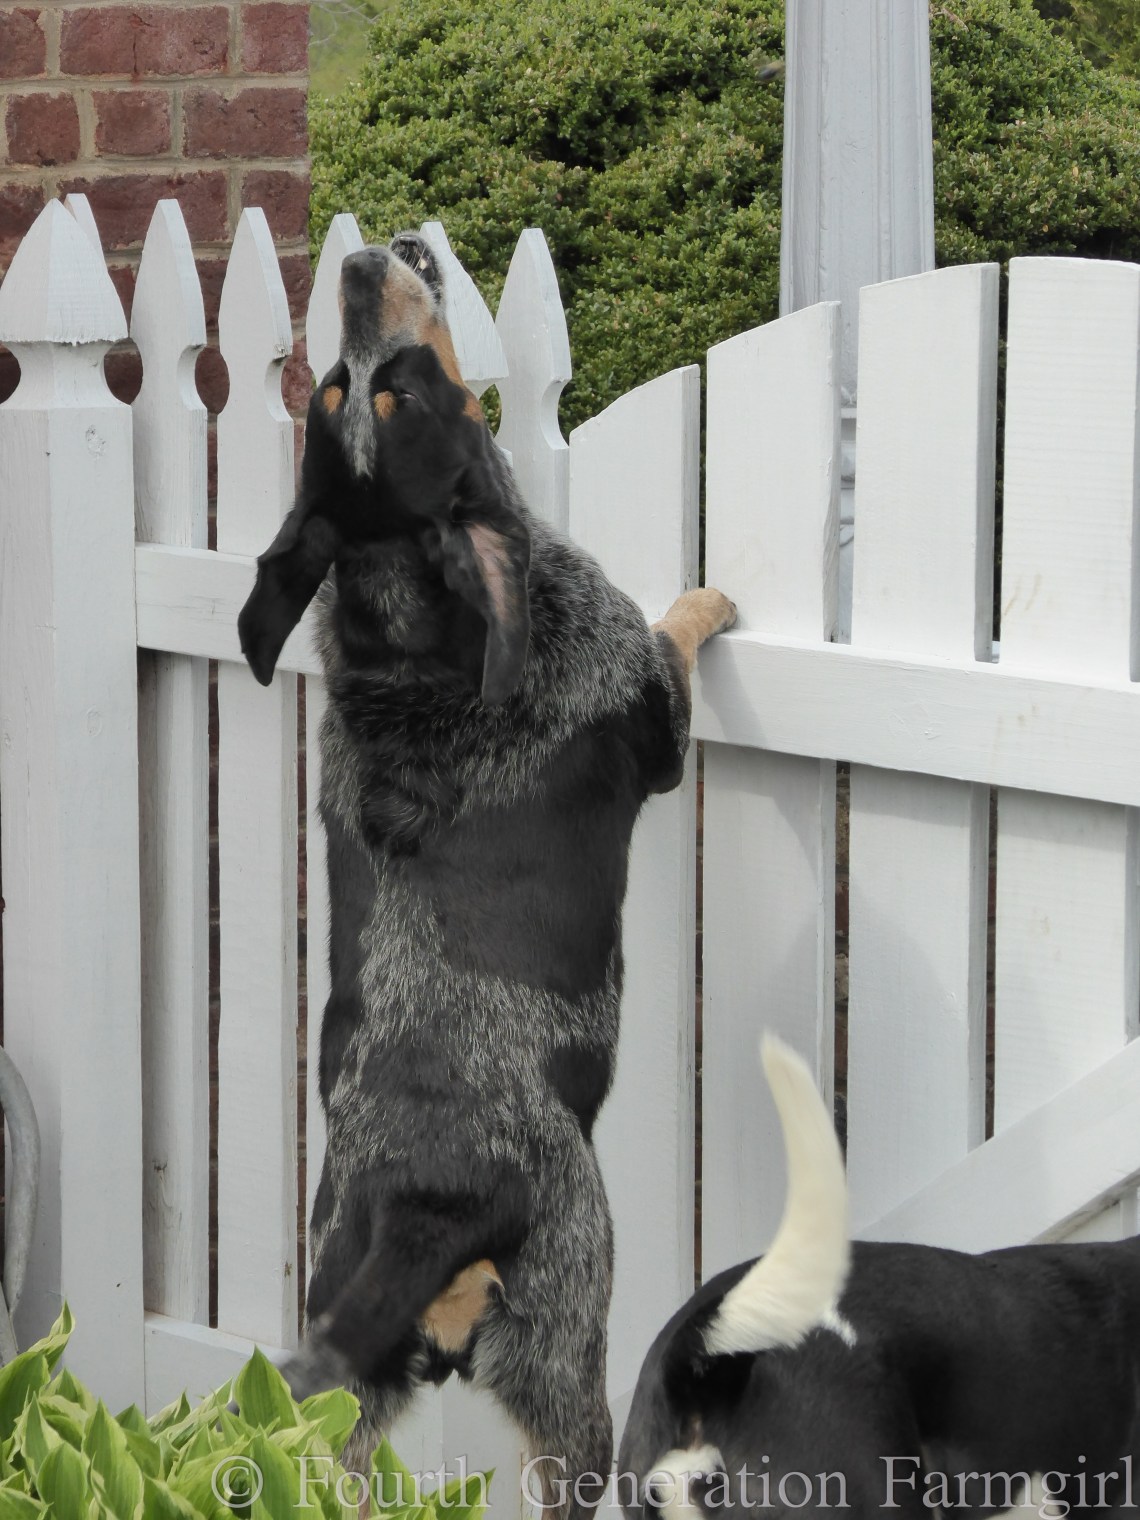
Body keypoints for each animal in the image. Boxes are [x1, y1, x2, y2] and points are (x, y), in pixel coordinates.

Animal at [236, 233, 735, 1509]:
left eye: (357, 391)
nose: (361, 262)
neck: (410, 625)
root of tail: (419, 1205)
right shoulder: (645, 694)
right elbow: (674, 630)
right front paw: (709, 595)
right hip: (572, 1352)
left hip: (338, 1401)